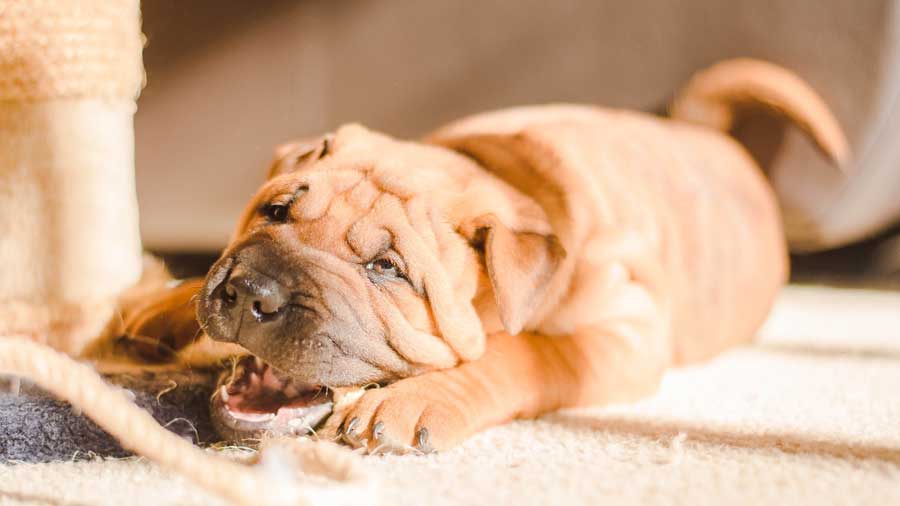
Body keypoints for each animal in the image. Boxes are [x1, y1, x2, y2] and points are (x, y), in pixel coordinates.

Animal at [95, 58, 848, 450]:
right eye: (275, 212)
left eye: (386, 270)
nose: (253, 293)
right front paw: (153, 306)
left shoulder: (625, 332)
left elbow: (525, 352)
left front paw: (411, 404)